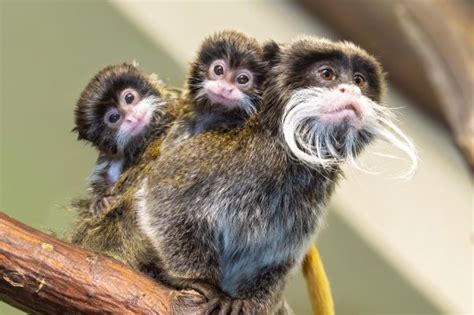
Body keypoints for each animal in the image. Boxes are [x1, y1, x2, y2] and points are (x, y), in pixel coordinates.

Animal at [132, 36, 414, 314]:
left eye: (359, 80)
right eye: (327, 74)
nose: (352, 91)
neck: (287, 151)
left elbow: (278, 258)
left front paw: (254, 303)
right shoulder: (223, 153)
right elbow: (163, 197)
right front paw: (200, 282)